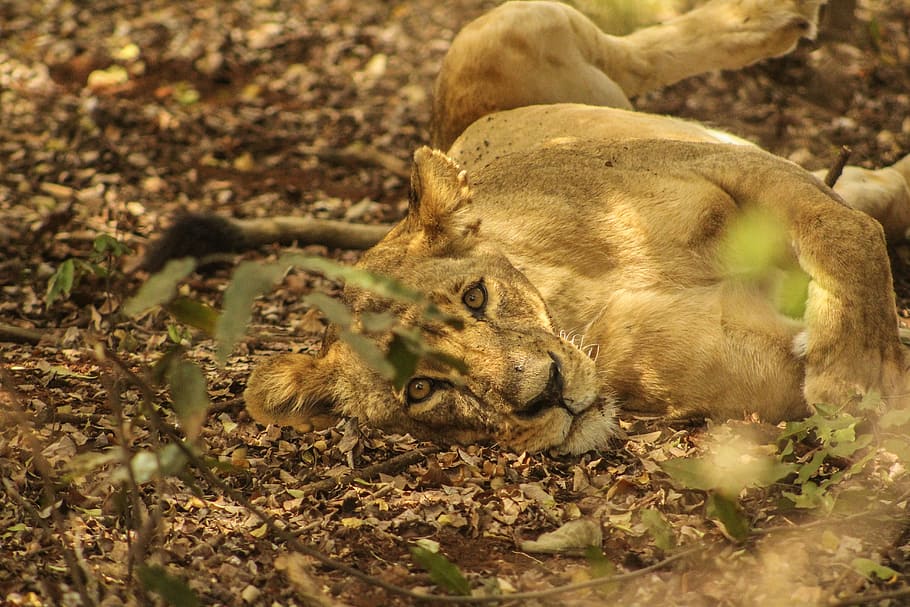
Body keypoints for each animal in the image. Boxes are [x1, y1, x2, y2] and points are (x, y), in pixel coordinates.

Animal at [149, 0, 910, 454]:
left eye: (475, 298)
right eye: (420, 390)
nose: (543, 392)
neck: (572, 297)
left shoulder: (719, 163)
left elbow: (842, 233)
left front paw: (859, 369)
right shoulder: (756, 375)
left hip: (505, 32)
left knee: (644, 51)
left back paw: (777, 16)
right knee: (869, 193)